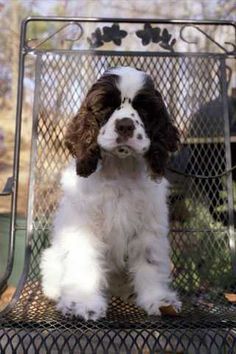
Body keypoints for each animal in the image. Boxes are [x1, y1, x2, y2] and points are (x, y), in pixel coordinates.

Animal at [39, 66, 182, 320]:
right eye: (105, 106)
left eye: (144, 109)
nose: (125, 125)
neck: (120, 169)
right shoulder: (83, 225)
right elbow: (83, 261)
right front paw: (82, 302)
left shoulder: (148, 227)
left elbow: (150, 263)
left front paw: (158, 300)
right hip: (52, 258)